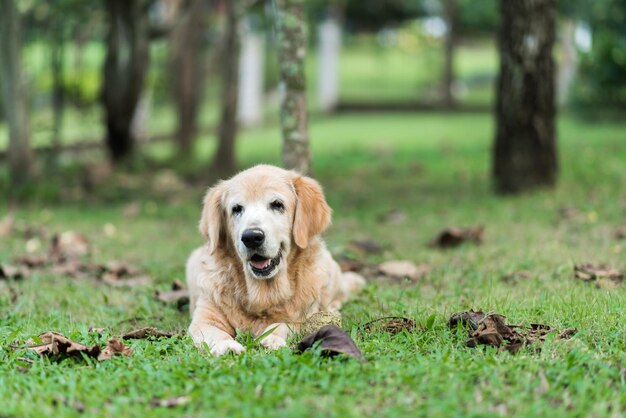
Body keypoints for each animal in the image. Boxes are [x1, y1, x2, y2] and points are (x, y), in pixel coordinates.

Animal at [185, 165, 364, 354]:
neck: (263, 295)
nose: (251, 237)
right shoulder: (204, 319)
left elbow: (283, 324)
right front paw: (226, 346)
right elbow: (213, 333)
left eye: (277, 204)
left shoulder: (301, 317)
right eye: (236, 209)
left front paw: (271, 338)